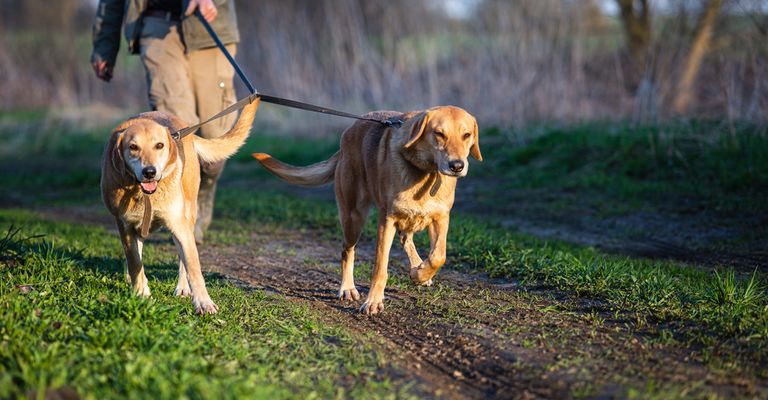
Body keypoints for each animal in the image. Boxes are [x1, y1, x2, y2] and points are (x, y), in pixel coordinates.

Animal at [100, 98, 260, 314]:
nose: (149, 172)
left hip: (186, 218)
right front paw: (141, 294)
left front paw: (203, 302)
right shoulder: (125, 226)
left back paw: (183, 288)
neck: (143, 193)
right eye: (133, 147)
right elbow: (135, 262)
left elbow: (193, 267)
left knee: (183, 259)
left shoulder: (178, 225)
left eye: (159, 145)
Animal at [254, 107, 480, 316]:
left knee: (406, 239)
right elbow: (380, 267)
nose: (457, 166)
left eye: (466, 135)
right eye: (439, 133)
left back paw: (417, 267)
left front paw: (420, 274)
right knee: (347, 250)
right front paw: (373, 302)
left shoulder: (440, 219)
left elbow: (438, 256)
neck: (425, 171)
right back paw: (347, 288)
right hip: (353, 218)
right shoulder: (387, 220)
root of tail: (346, 136)